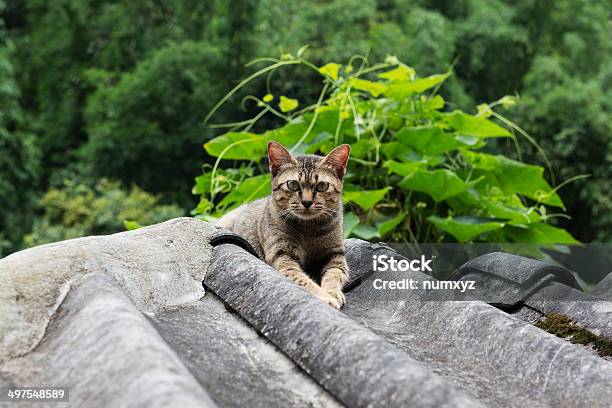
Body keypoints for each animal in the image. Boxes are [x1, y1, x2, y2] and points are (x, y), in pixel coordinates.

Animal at [216, 142, 350, 308]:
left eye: (322, 186)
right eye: (292, 184)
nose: (306, 202)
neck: (309, 229)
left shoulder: (335, 256)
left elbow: (334, 275)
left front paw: (332, 293)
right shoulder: (282, 255)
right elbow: (301, 278)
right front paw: (324, 296)